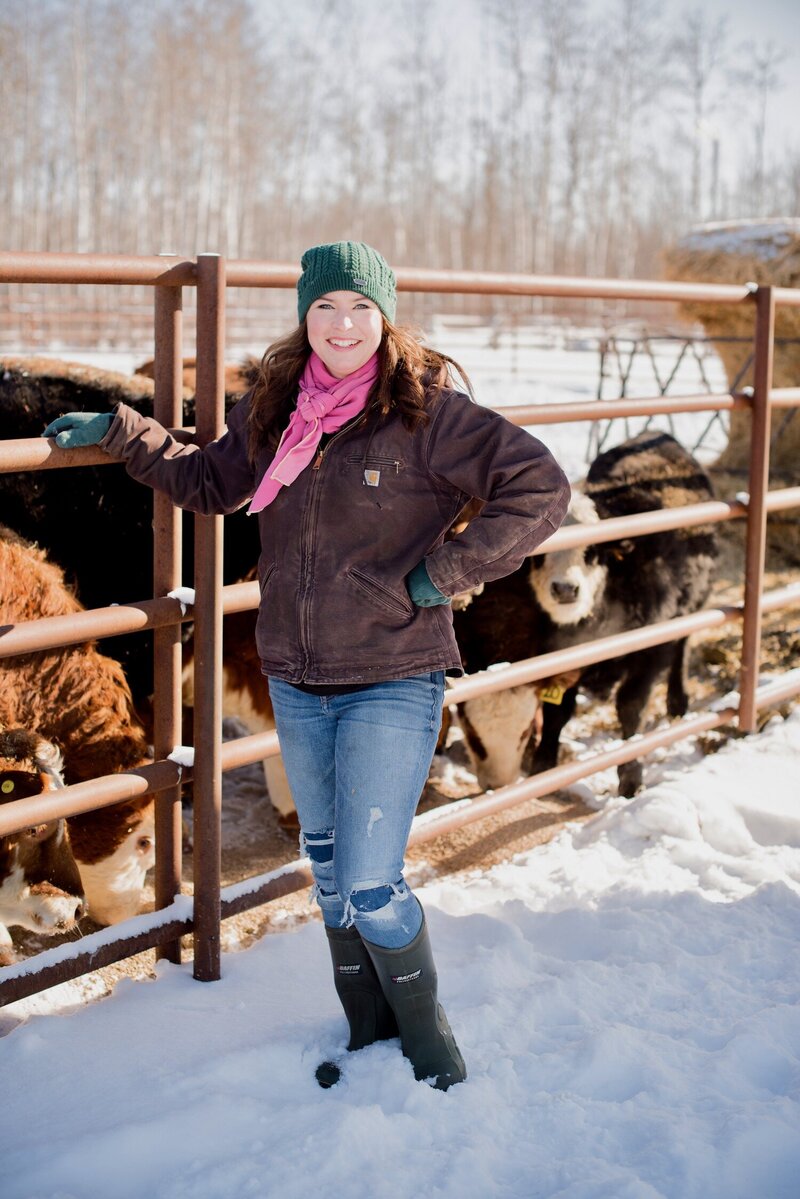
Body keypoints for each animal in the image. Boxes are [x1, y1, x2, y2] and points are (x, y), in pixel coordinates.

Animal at [455, 431, 719, 796]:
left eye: (592, 551)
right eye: (538, 555)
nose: (565, 589)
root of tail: (658, 435)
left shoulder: (649, 651)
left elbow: (631, 706)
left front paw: (630, 776)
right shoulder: (562, 657)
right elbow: (559, 711)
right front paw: (543, 765)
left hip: (692, 610)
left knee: (683, 647)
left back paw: (678, 702)